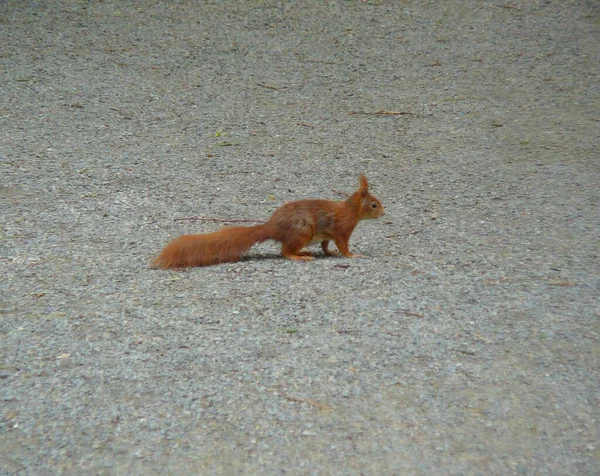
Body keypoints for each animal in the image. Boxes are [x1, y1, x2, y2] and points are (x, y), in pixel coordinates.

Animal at [151, 174, 384, 270]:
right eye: (374, 204)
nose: (383, 213)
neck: (351, 210)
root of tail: (273, 227)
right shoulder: (342, 229)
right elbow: (343, 245)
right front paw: (352, 255)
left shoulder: (327, 234)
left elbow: (326, 245)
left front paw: (330, 252)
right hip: (303, 231)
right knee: (284, 251)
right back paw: (299, 256)